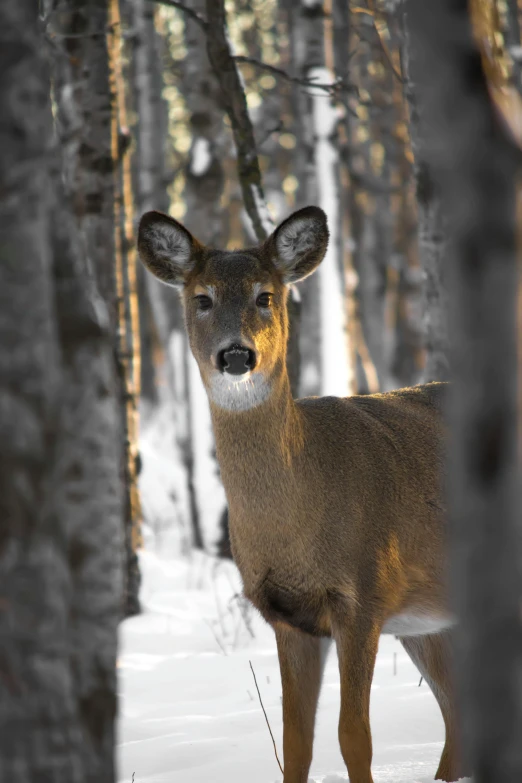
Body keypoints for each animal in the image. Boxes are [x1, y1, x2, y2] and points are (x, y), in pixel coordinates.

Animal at [136, 207, 462, 783]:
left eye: (265, 296)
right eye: (202, 298)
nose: (236, 354)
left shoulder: (363, 594)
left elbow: (354, 735)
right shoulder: (288, 618)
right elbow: (295, 741)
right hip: (428, 621)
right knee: (459, 717)